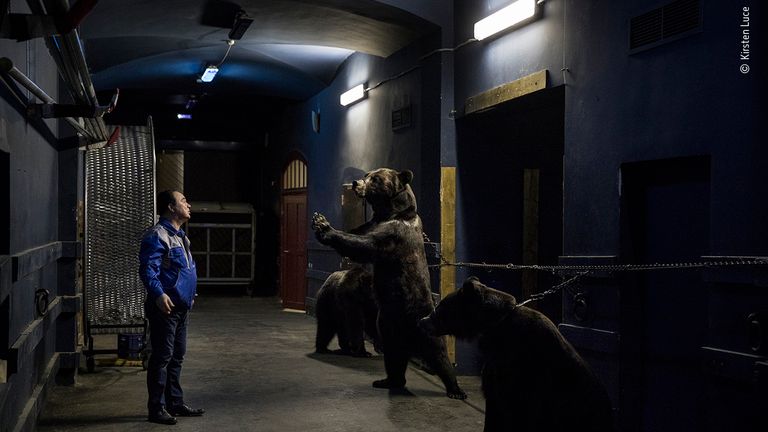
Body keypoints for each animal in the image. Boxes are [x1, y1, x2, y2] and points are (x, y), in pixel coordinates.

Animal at [308, 167, 464, 400]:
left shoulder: (395, 233)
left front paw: (324, 227)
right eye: (367, 175)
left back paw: (455, 389)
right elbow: (356, 234)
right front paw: (318, 220)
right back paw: (388, 380)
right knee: (393, 354)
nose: (356, 183)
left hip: (419, 318)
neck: (390, 212)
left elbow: (365, 244)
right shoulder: (371, 224)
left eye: (375, 179)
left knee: (438, 353)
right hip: (388, 322)